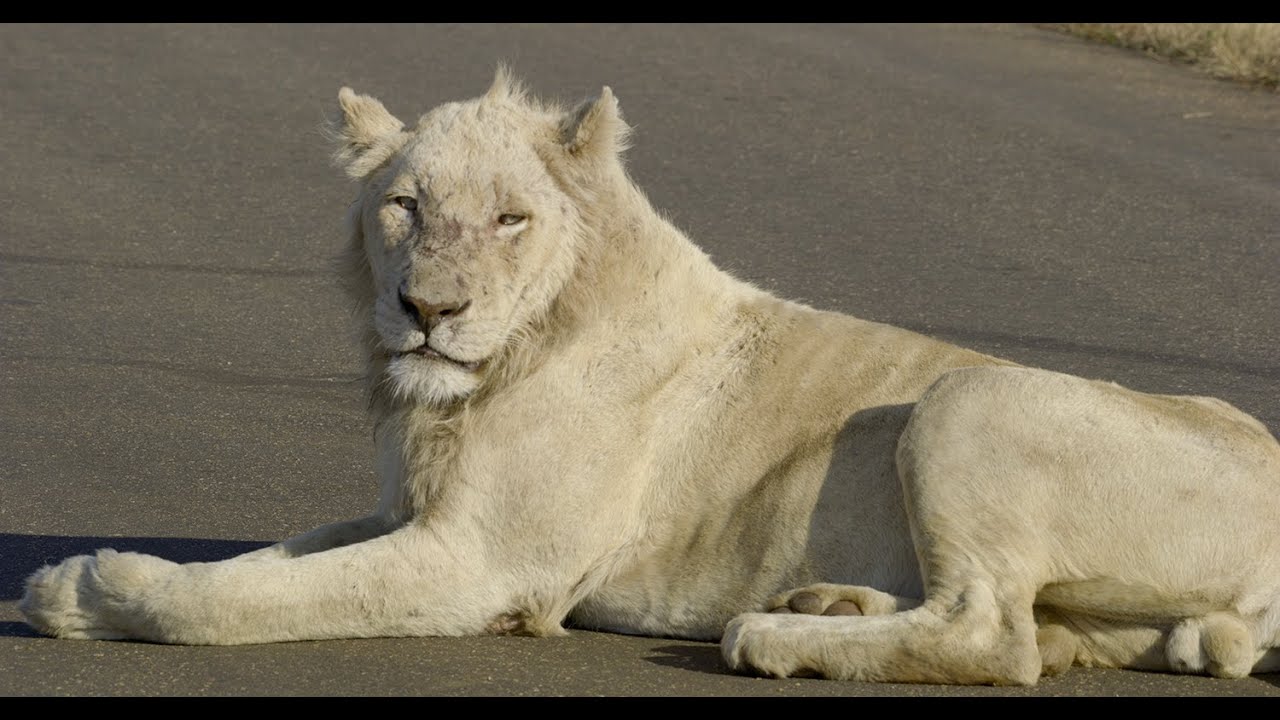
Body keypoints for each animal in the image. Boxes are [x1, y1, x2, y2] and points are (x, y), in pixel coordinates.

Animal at [20, 70, 1280, 686]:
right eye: (404, 206)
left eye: (510, 219)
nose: (427, 312)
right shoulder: (406, 512)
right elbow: (268, 560)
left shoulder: (488, 566)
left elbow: (241, 600)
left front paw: (86, 590)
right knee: (1027, 625)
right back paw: (826, 606)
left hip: (970, 396)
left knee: (996, 640)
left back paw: (774, 639)